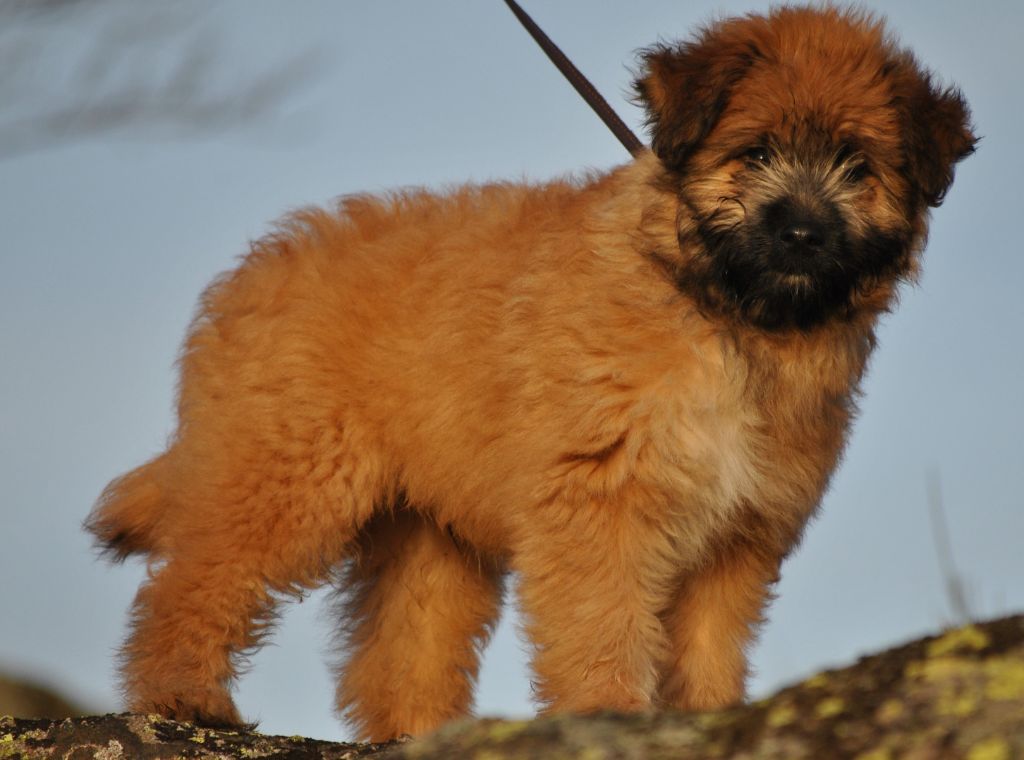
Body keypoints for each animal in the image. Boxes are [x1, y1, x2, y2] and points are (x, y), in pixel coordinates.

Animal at [83, 4, 970, 745]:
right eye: (754, 154)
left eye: (859, 167)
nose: (802, 234)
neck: (722, 314)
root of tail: (259, 269)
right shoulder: (600, 500)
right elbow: (603, 622)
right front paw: (608, 712)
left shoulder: (740, 530)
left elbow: (709, 641)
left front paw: (711, 718)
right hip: (286, 475)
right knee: (192, 582)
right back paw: (183, 697)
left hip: (430, 532)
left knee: (401, 649)